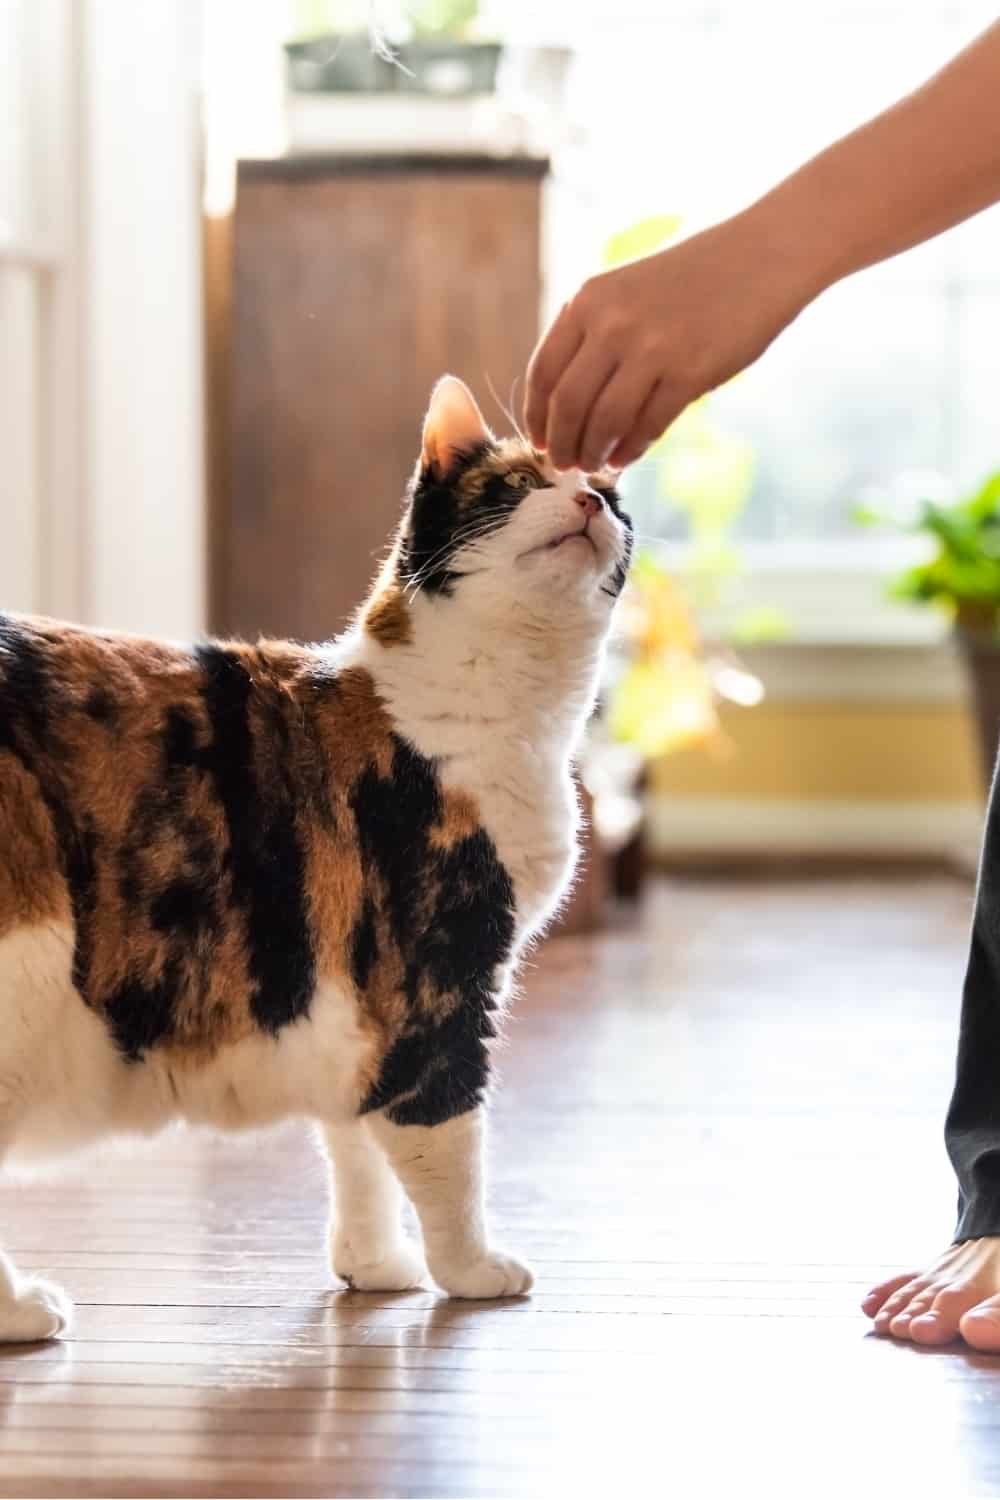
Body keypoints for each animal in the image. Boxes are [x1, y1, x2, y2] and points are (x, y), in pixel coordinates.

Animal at [0, 375, 632, 1338]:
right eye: (520, 482)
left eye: (612, 495)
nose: (593, 501)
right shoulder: (437, 978)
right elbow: (446, 1139)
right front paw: (471, 1270)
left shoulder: (350, 990)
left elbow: (356, 1138)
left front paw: (374, 1268)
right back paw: (23, 1310)